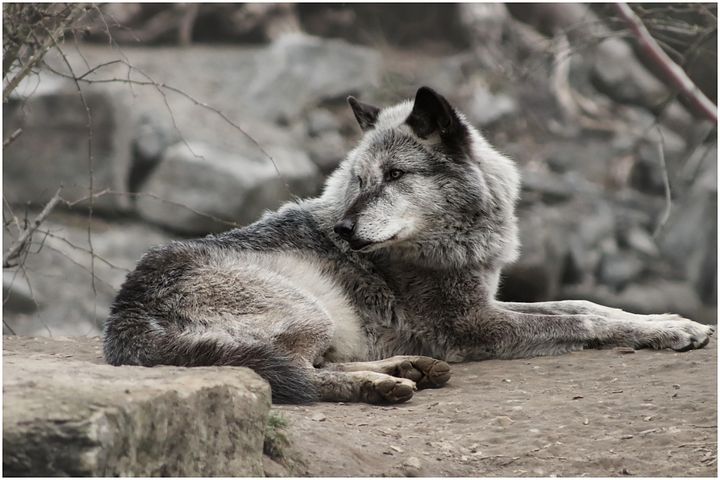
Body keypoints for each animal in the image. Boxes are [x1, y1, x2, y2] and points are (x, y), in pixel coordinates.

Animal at [104, 86, 715, 404]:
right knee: (292, 374)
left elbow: (585, 303)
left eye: (395, 175)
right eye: (359, 180)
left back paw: (409, 368)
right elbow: (583, 320)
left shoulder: (483, 300)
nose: (343, 232)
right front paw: (666, 331)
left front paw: (673, 323)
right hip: (308, 309)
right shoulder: (468, 325)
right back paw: (383, 384)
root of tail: (124, 314)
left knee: (308, 364)